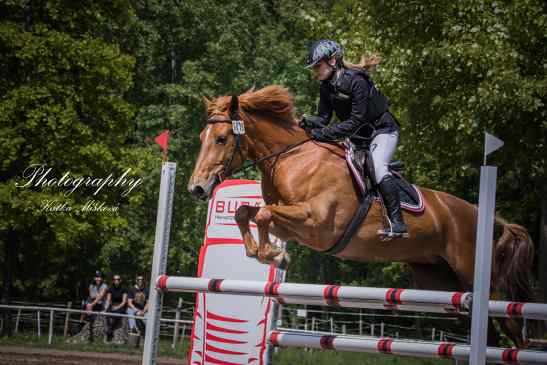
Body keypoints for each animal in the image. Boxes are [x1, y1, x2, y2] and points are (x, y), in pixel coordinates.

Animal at [187, 84, 536, 344]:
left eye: (222, 138)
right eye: (202, 138)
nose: (197, 189)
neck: (292, 158)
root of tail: (479, 212)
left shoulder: (316, 223)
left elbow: (261, 216)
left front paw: (274, 255)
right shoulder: (290, 222)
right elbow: (246, 213)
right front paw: (266, 252)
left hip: (474, 274)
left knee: (511, 323)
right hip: (441, 281)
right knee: (488, 329)